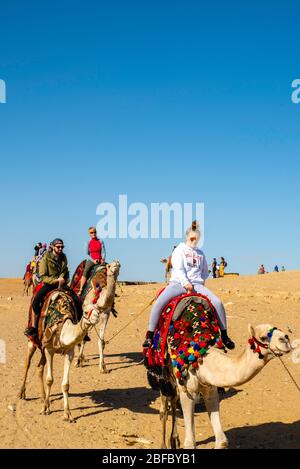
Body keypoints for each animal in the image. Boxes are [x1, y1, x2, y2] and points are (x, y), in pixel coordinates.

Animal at [18, 292, 101, 420]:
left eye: (98, 310)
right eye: (86, 312)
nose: (96, 316)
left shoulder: (69, 352)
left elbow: (65, 384)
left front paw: (67, 414)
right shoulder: (49, 350)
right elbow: (49, 380)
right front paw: (45, 409)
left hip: (43, 349)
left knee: (40, 367)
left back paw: (44, 398)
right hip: (33, 342)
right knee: (28, 363)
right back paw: (22, 393)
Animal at [161, 320, 292, 448]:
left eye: (279, 329)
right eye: (263, 337)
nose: (285, 338)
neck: (202, 359)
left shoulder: (209, 387)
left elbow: (222, 442)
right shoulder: (189, 390)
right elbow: (190, 443)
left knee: (173, 401)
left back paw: (174, 440)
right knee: (166, 405)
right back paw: (166, 443)